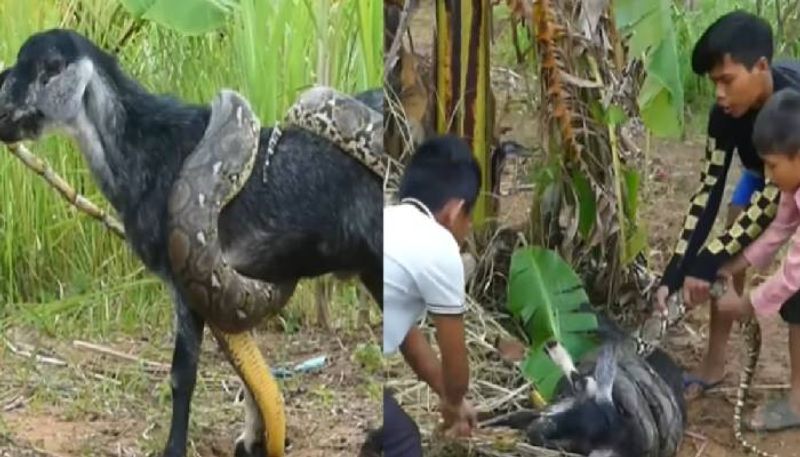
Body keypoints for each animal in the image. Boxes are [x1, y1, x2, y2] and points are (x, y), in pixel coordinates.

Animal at [0, 28, 384, 456]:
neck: (150, 149)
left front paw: (175, 447)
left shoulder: (187, 282)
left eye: (49, 68)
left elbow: (182, 375)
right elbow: (247, 374)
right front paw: (252, 441)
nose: (3, 114)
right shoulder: (230, 296)